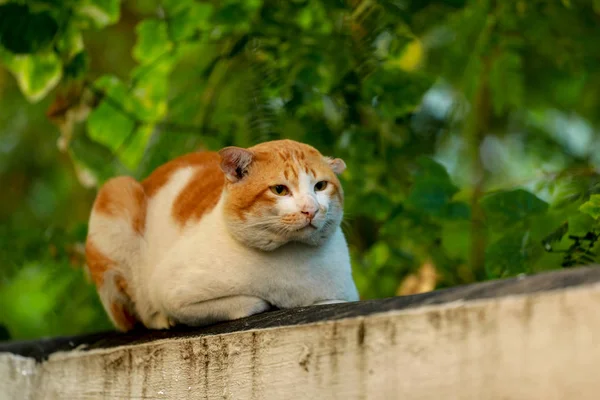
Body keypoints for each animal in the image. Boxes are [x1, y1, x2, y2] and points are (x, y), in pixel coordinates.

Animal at [84, 139, 356, 330]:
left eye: (320, 186)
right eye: (279, 190)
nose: (310, 209)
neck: (291, 257)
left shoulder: (344, 294)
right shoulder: (174, 294)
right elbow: (252, 302)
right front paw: (271, 302)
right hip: (117, 194)